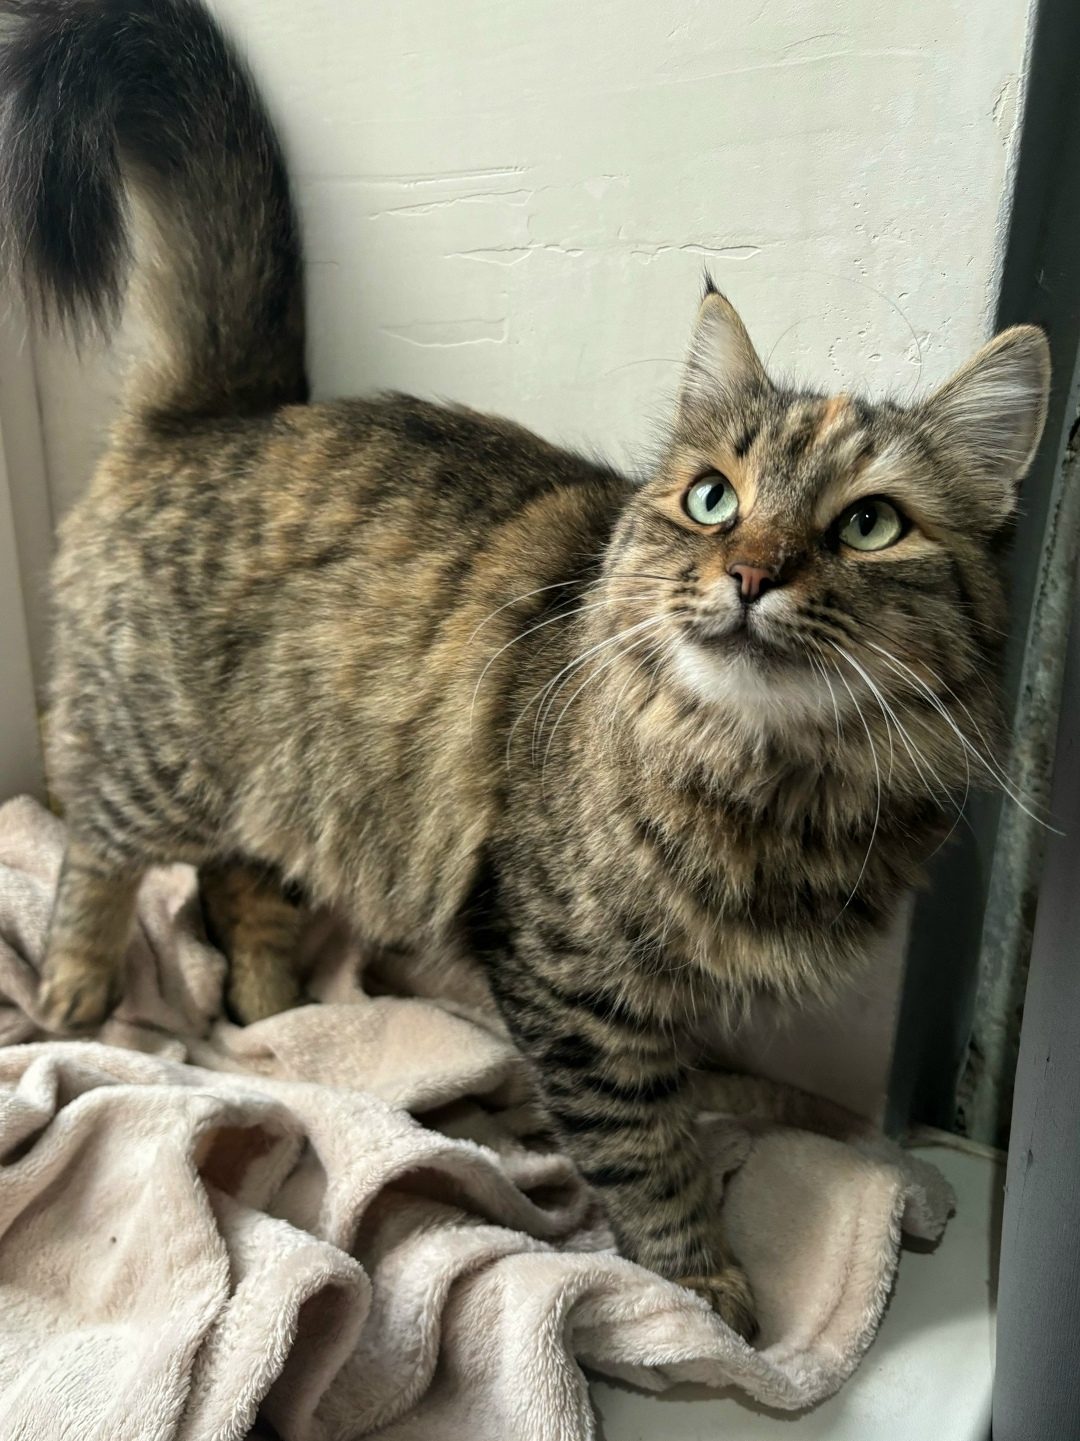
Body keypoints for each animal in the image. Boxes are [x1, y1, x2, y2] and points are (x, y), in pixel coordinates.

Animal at [0, 0, 1049, 1340]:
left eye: (870, 526)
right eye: (714, 499)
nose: (751, 572)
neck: (774, 781)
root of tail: (230, 409)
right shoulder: (573, 980)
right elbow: (644, 1151)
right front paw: (705, 1296)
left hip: (291, 771)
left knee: (241, 884)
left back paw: (281, 1008)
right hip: (160, 754)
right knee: (100, 850)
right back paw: (80, 985)